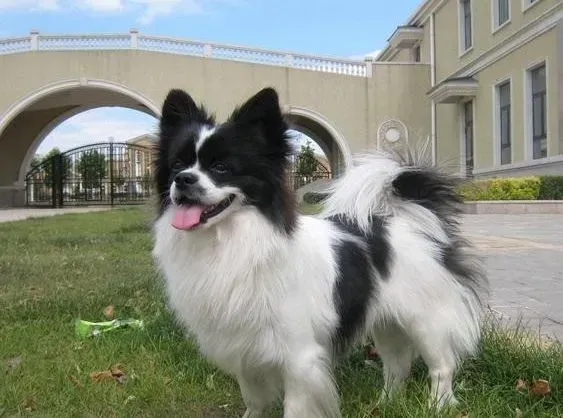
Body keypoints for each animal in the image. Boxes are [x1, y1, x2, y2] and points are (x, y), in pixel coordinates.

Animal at [151, 86, 490, 416]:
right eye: (177, 165)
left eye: (221, 168)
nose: (183, 179)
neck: (229, 239)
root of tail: (413, 216)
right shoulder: (244, 349)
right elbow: (254, 400)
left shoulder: (299, 357)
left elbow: (294, 407)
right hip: (387, 322)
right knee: (397, 365)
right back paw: (386, 404)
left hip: (425, 319)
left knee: (441, 366)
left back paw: (436, 406)